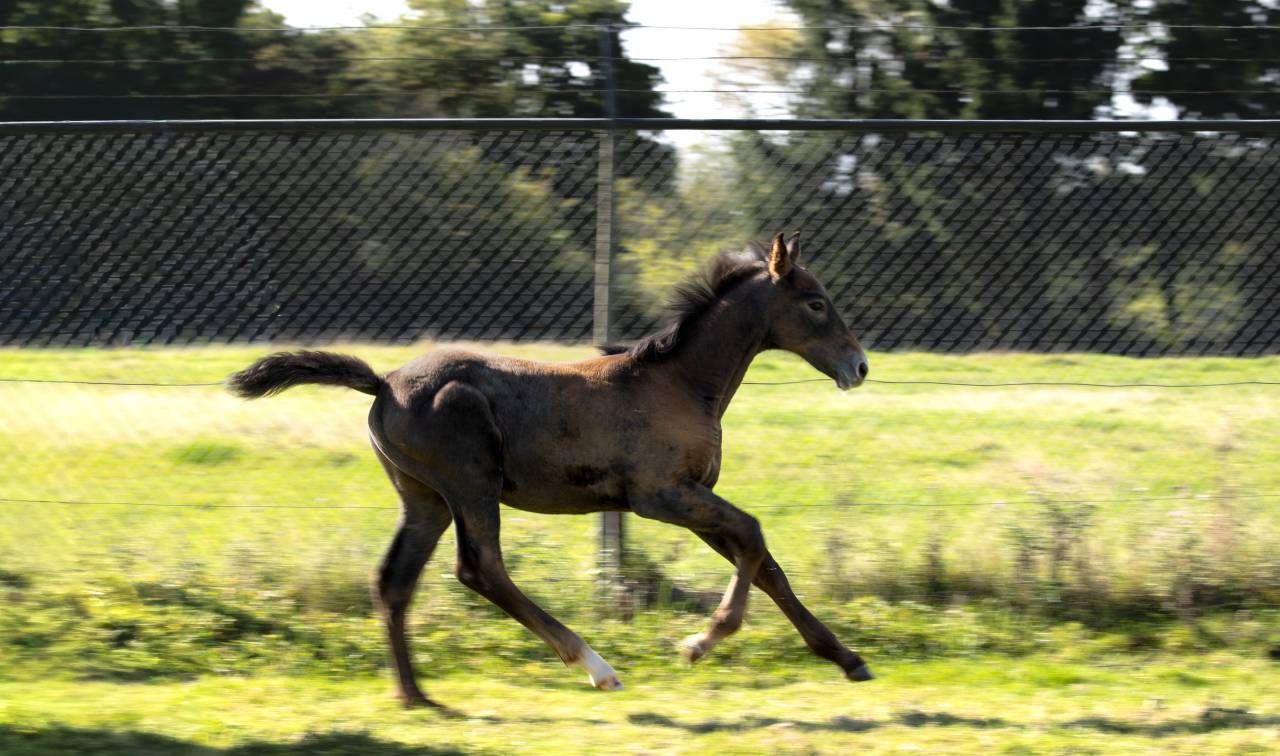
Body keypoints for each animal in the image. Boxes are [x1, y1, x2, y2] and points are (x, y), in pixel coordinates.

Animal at [228, 232, 873, 708]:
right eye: (815, 302)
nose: (860, 366)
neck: (681, 383)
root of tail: (383, 382)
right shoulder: (661, 495)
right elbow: (755, 535)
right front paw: (700, 641)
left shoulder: (693, 499)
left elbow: (767, 566)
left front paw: (848, 660)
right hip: (471, 486)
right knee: (480, 568)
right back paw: (596, 666)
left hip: (425, 499)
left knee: (394, 580)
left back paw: (417, 698)